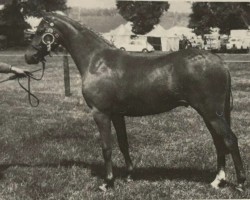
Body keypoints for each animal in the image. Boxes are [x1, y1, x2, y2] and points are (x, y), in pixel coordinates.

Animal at [23, 12, 246, 192]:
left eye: (41, 30)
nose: (29, 56)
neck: (97, 60)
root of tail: (220, 63)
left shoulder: (100, 113)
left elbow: (106, 147)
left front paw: (107, 183)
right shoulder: (117, 114)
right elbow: (123, 143)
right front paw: (130, 175)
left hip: (211, 113)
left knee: (230, 140)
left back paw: (240, 183)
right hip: (211, 114)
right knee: (218, 142)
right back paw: (217, 181)